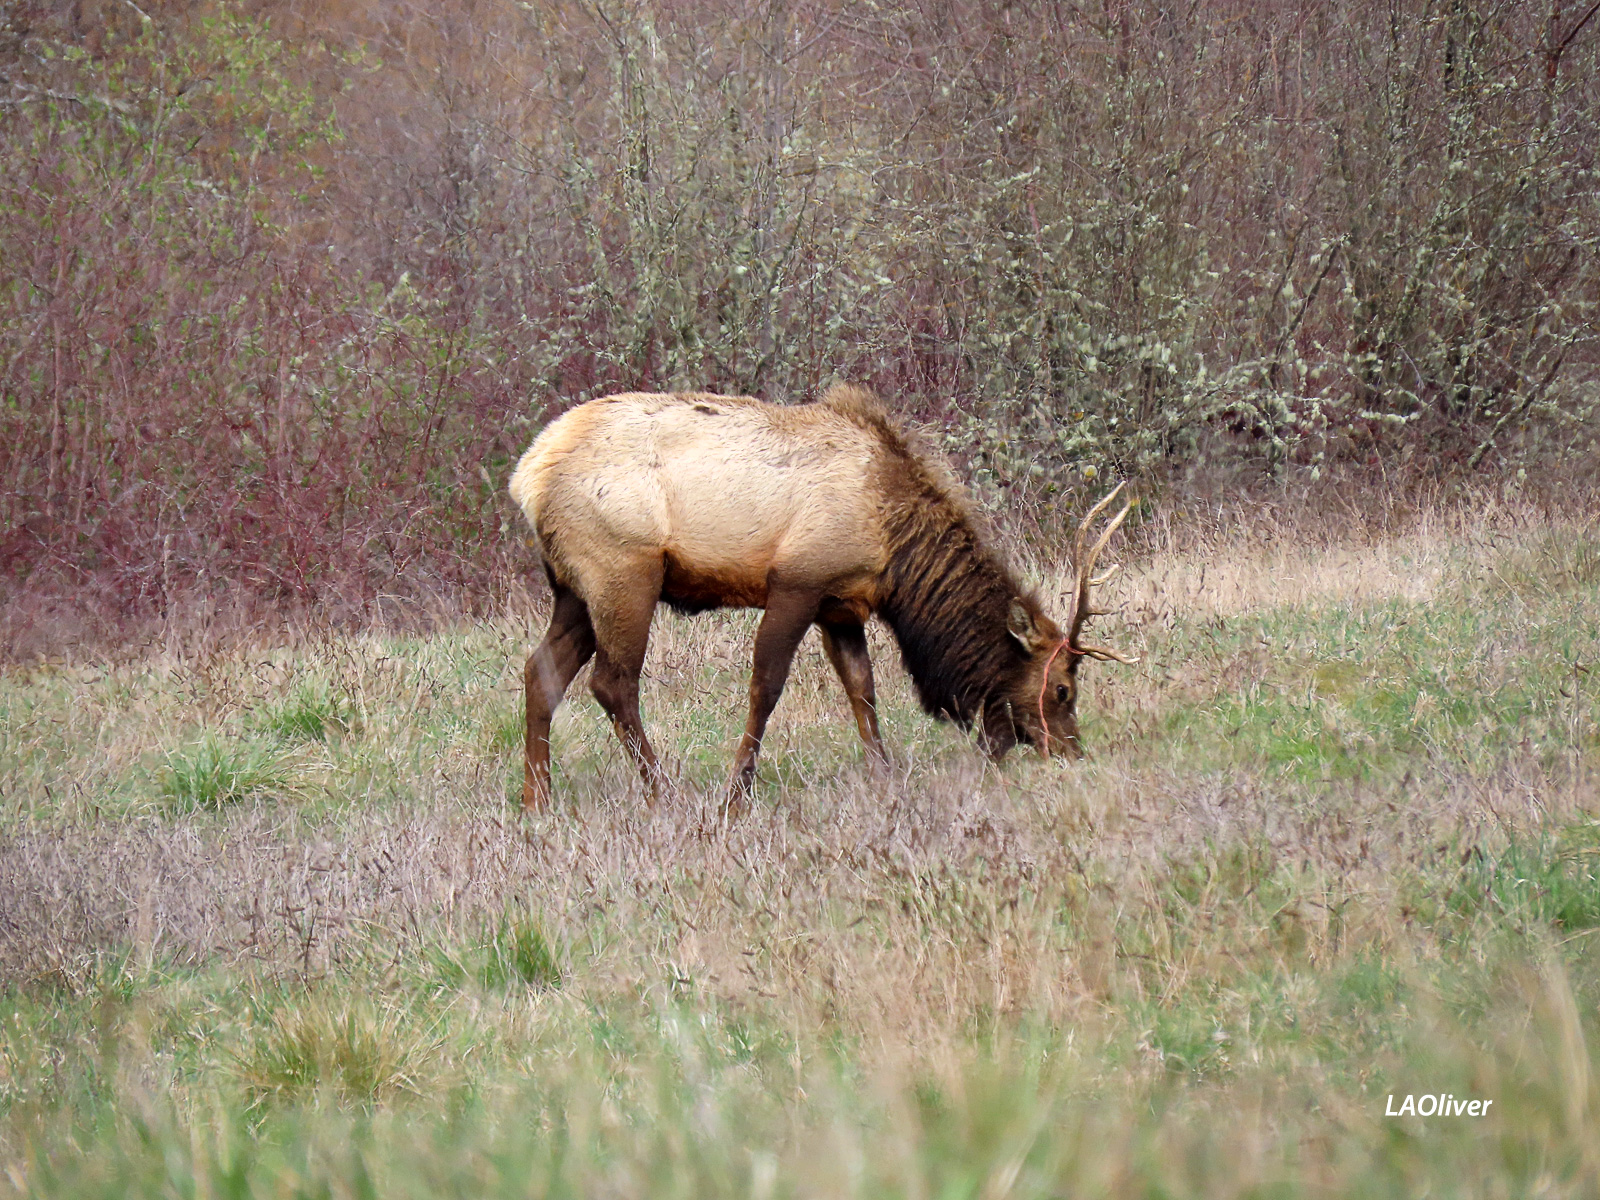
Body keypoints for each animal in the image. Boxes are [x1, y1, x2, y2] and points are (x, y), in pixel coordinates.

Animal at [508, 383, 1135, 813]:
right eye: (1062, 689)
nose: (1074, 753)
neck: (895, 548)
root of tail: (528, 476)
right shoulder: (797, 581)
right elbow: (766, 687)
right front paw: (736, 795)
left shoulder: (841, 604)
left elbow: (863, 690)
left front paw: (884, 777)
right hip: (623, 572)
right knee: (612, 684)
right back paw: (665, 793)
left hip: (573, 588)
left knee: (540, 669)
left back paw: (538, 802)